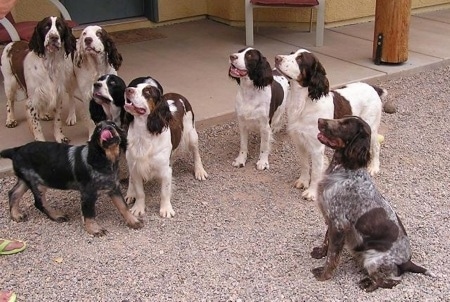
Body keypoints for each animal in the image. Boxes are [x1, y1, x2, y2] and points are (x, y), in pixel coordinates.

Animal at [0, 120, 142, 236]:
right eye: (98, 129)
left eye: (113, 124)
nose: (108, 128)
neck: (104, 159)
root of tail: (16, 150)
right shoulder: (88, 194)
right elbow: (90, 214)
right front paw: (95, 229)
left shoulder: (113, 187)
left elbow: (123, 206)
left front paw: (133, 221)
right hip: (38, 183)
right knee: (39, 203)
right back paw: (56, 216)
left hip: (27, 180)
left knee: (13, 193)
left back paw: (16, 215)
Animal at [123, 75, 207, 217]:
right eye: (134, 86)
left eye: (147, 92)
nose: (128, 90)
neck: (144, 132)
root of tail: (177, 94)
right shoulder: (136, 165)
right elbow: (139, 191)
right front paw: (138, 208)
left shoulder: (165, 169)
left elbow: (164, 191)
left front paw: (166, 209)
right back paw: (130, 192)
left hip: (192, 135)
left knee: (196, 153)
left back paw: (200, 171)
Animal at [274, 49, 386, 201]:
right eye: (291, 53)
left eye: (300, 59)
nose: (276, 58)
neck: (303, 103)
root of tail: (373, 88)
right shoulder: (300, 142)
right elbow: (304, 165)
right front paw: (303, 182)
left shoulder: (316, 147)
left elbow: (316, 172)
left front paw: (311, 192)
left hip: (371, 128)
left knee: (376, 146)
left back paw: (374, 167)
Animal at [312, 116, 434, 292]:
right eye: (342, 118)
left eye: (345, 125)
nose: (320, 120)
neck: (344, 169)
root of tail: (407, 262)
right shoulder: (332, 218)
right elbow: (326, 240)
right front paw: (320, 252)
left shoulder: (339, 223)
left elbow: (332, 256)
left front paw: (324, 275)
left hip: (373, 260)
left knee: (390, 281)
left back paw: (367, 284)